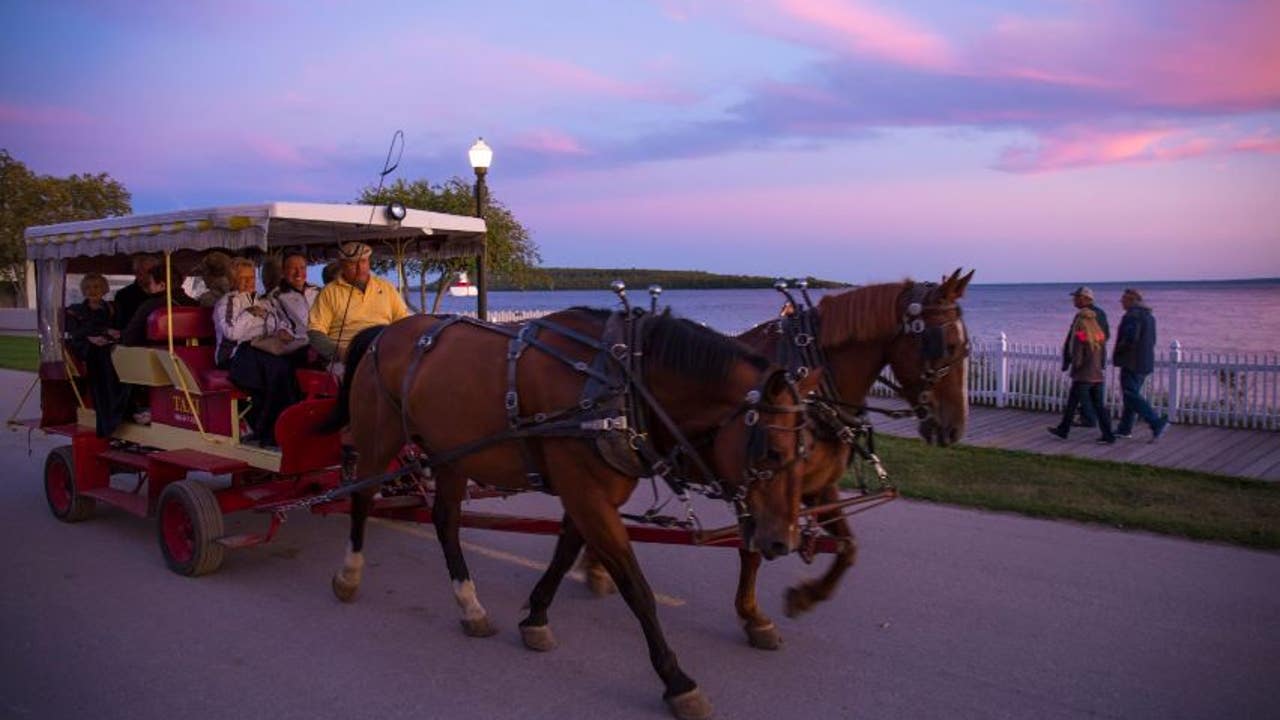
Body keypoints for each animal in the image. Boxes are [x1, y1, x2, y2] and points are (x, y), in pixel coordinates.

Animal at [325, 307, 814, 717]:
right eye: (772, 452)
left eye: (805, 451)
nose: (783, 540)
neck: (621, 384)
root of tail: (384, 331)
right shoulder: (586, 492)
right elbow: (637, 589)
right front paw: (676, 680)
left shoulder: (588, 495)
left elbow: (564, 554)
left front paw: (536, 617)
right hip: (378, 439)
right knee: (361, 501)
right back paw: (349, 575)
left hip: (450, 455)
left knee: (446, 521)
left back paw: (470, 607)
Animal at [578, 267, 967, 645]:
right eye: (947, 346)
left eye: (966, 349)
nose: (954, 429)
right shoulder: (756, 484)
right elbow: (751, 550)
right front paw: (753, 617)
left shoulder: (817, 487)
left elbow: (847, 546)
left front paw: (806, 596)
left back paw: (594, 564)